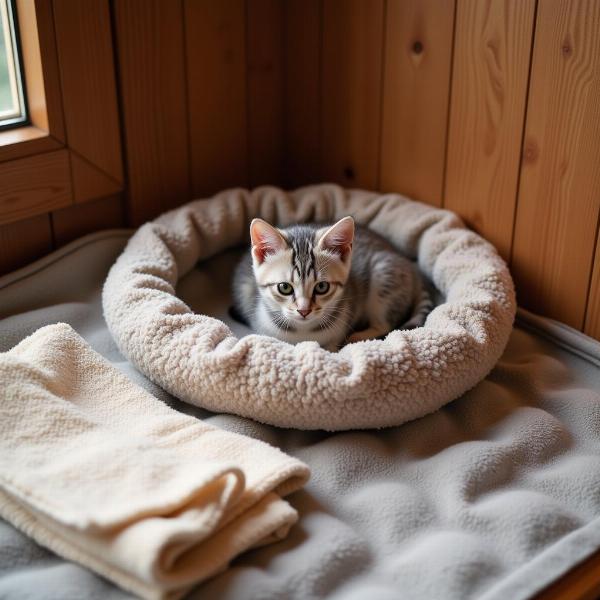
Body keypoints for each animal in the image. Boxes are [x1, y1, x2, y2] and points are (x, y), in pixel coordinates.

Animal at [230, 216, 432, 350]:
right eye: (284, 287)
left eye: (322, 287)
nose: (304, 311)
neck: (303, 332)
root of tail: (411, 268)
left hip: (384, 272)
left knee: (386, 325)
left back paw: (359, 337)